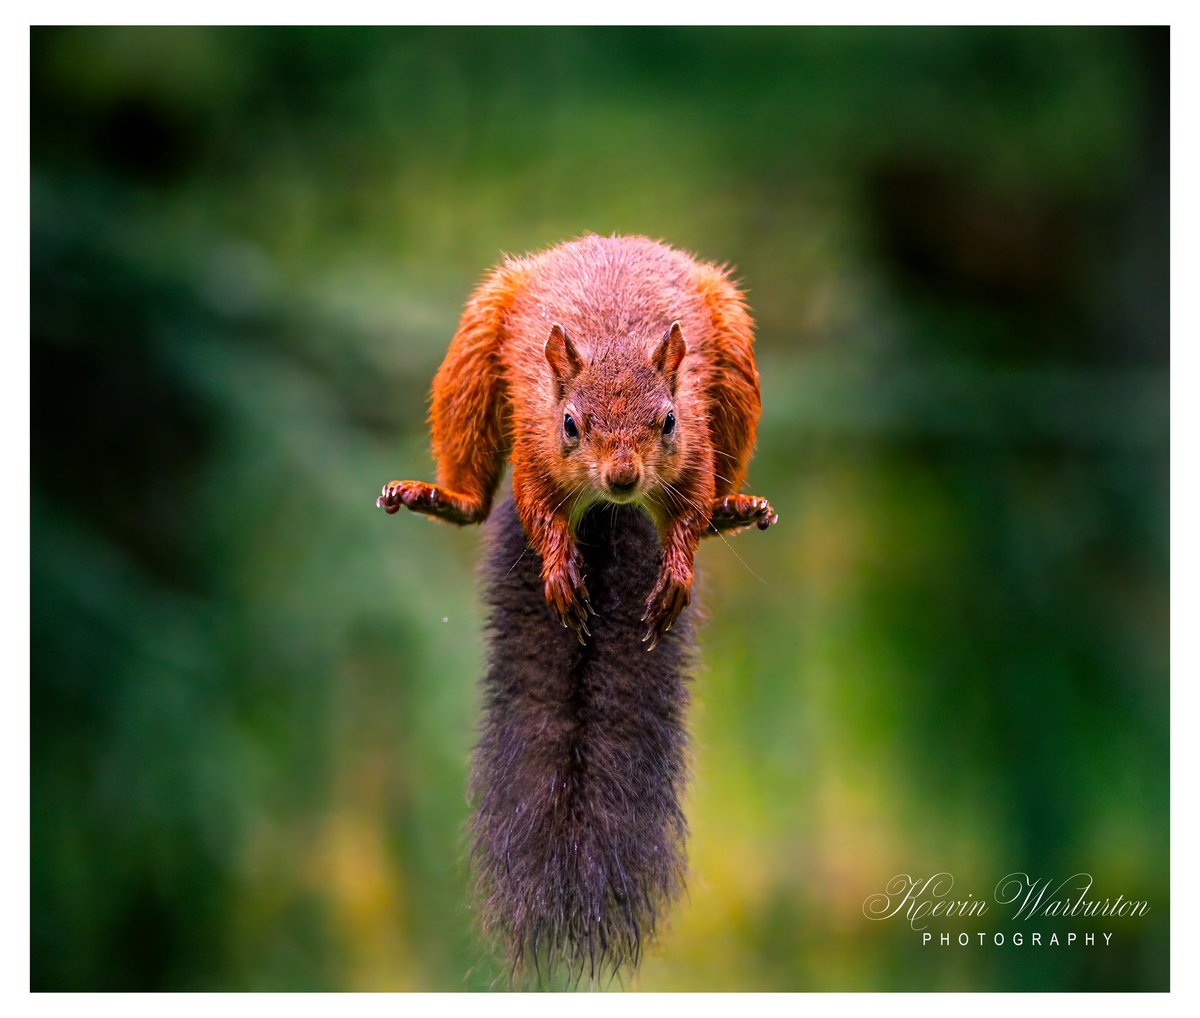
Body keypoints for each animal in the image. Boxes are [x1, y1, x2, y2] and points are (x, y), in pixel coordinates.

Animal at [376, 234, 776, 981]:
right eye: (570, 424)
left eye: (667, 420)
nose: (622, 477)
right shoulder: (534, 445)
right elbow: (537, 508)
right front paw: (560, 569)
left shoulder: (696, 449)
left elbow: (689, 513)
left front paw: (676, 572)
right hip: (475, 352)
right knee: (475, 493)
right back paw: (444, 496)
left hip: (735, 362)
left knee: (715, 503)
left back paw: (735, 510)